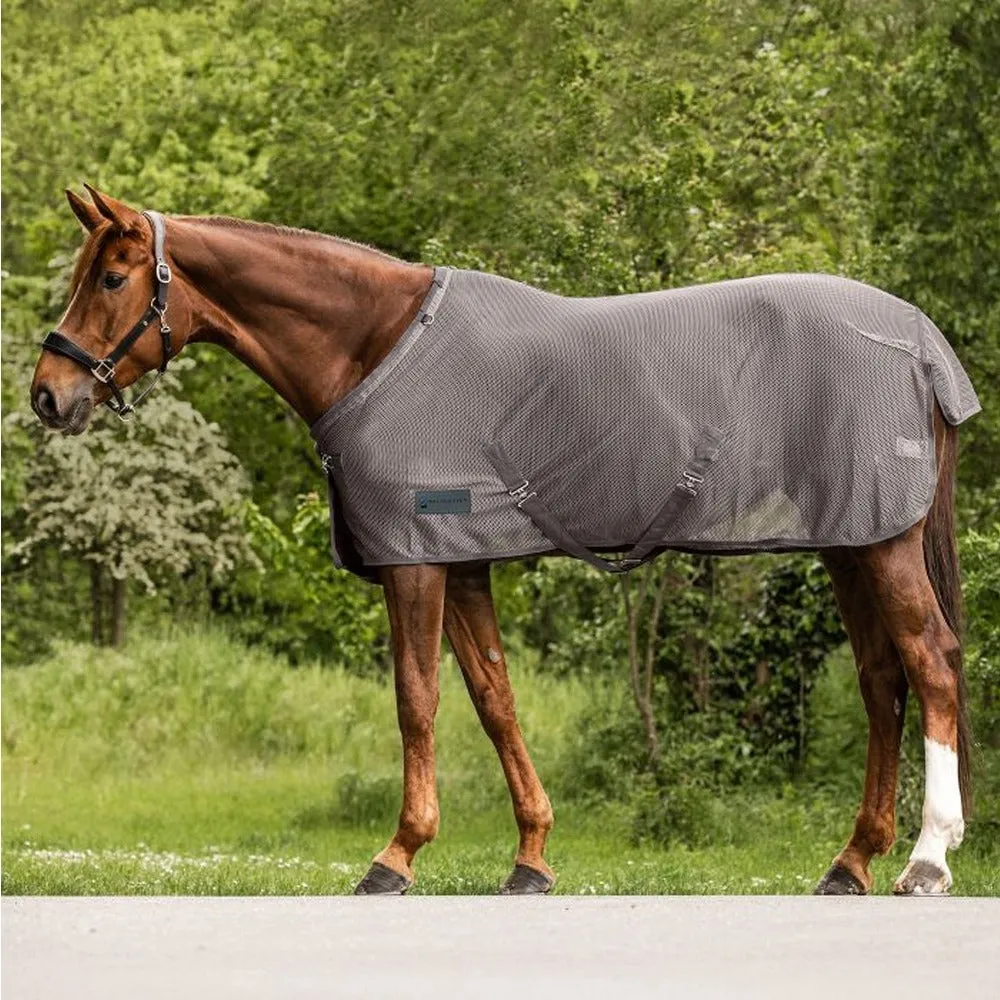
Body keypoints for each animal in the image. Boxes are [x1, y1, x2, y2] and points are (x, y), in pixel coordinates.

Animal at [30, 186, 975, 897]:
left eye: (111, 276)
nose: (47, 394)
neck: (377, 346)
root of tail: (922, 343)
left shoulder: (415, 560)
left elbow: (417, 701)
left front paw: (397, 855)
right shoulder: (464, 562)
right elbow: (495, 699)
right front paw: (531, 858)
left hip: (882, 545)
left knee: (929, 662)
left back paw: (927, 860)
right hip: (852, 542)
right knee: (881, 679)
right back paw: (852, 862)